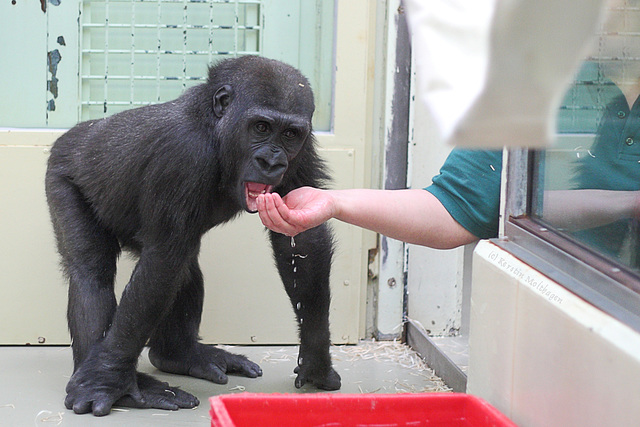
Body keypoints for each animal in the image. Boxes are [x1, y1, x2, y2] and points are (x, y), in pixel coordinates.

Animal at [45, 55, 340, 416]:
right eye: (261, 127)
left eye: (289, 134)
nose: (271, 161)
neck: (215, 130)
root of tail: (72, 135)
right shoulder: (182, 154)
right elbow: (162, 260)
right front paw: (106, 379)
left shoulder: (304, 147)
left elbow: (302, 237)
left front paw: (316, 355)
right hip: (61, 174)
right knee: (93, 272)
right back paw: (117, 382)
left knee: (182, 267)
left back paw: (179, 355)